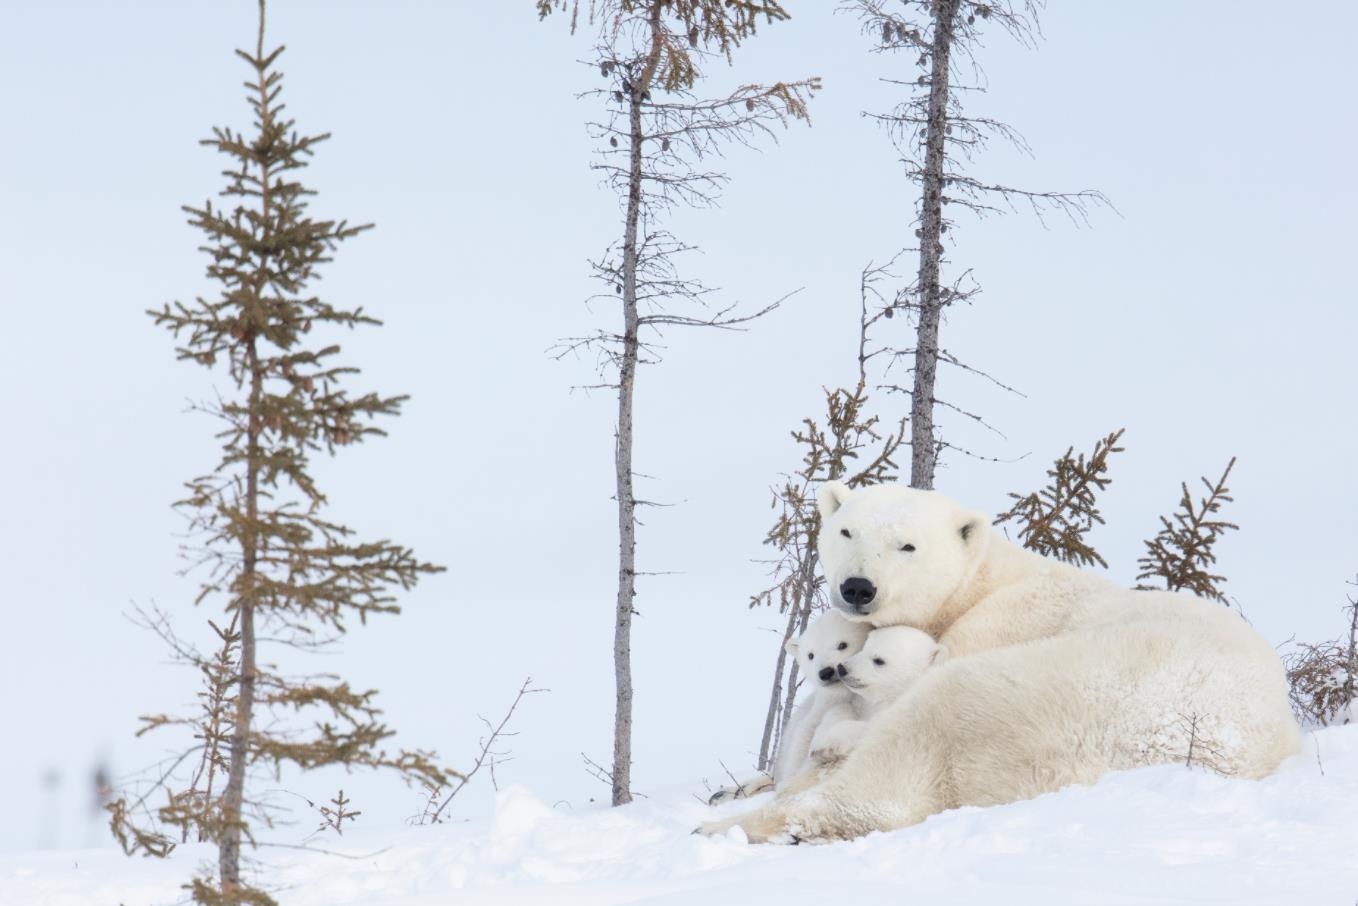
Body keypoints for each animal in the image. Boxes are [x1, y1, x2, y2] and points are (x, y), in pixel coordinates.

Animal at [706, 480, 1298, 842]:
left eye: (907, 546)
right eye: (847, 530)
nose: (857, 587)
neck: (976, 587)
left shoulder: (990, 628)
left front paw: (825, 748)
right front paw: (743, 781)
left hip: (1061, 696)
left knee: (906, 753)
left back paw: (732, 827)